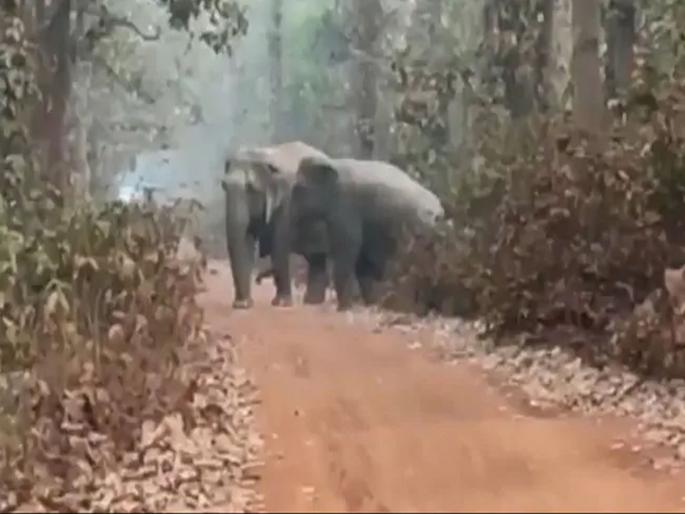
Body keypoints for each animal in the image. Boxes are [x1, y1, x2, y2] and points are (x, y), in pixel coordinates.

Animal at [221, 141, 329, 309]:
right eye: (223, 186)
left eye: (251, 188)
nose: (258, 280)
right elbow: (246, 240)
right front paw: (243, 304)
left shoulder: (287, 202)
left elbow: (278, 244)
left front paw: (282, 304)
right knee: (316, 257)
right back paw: (312, 302)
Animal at [290, 155, 445, 311]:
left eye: (298, 189)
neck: (333, 163)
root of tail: (441, 211)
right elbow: (362, 261)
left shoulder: (346, 206)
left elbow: (347, 250)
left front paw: (344, 308)